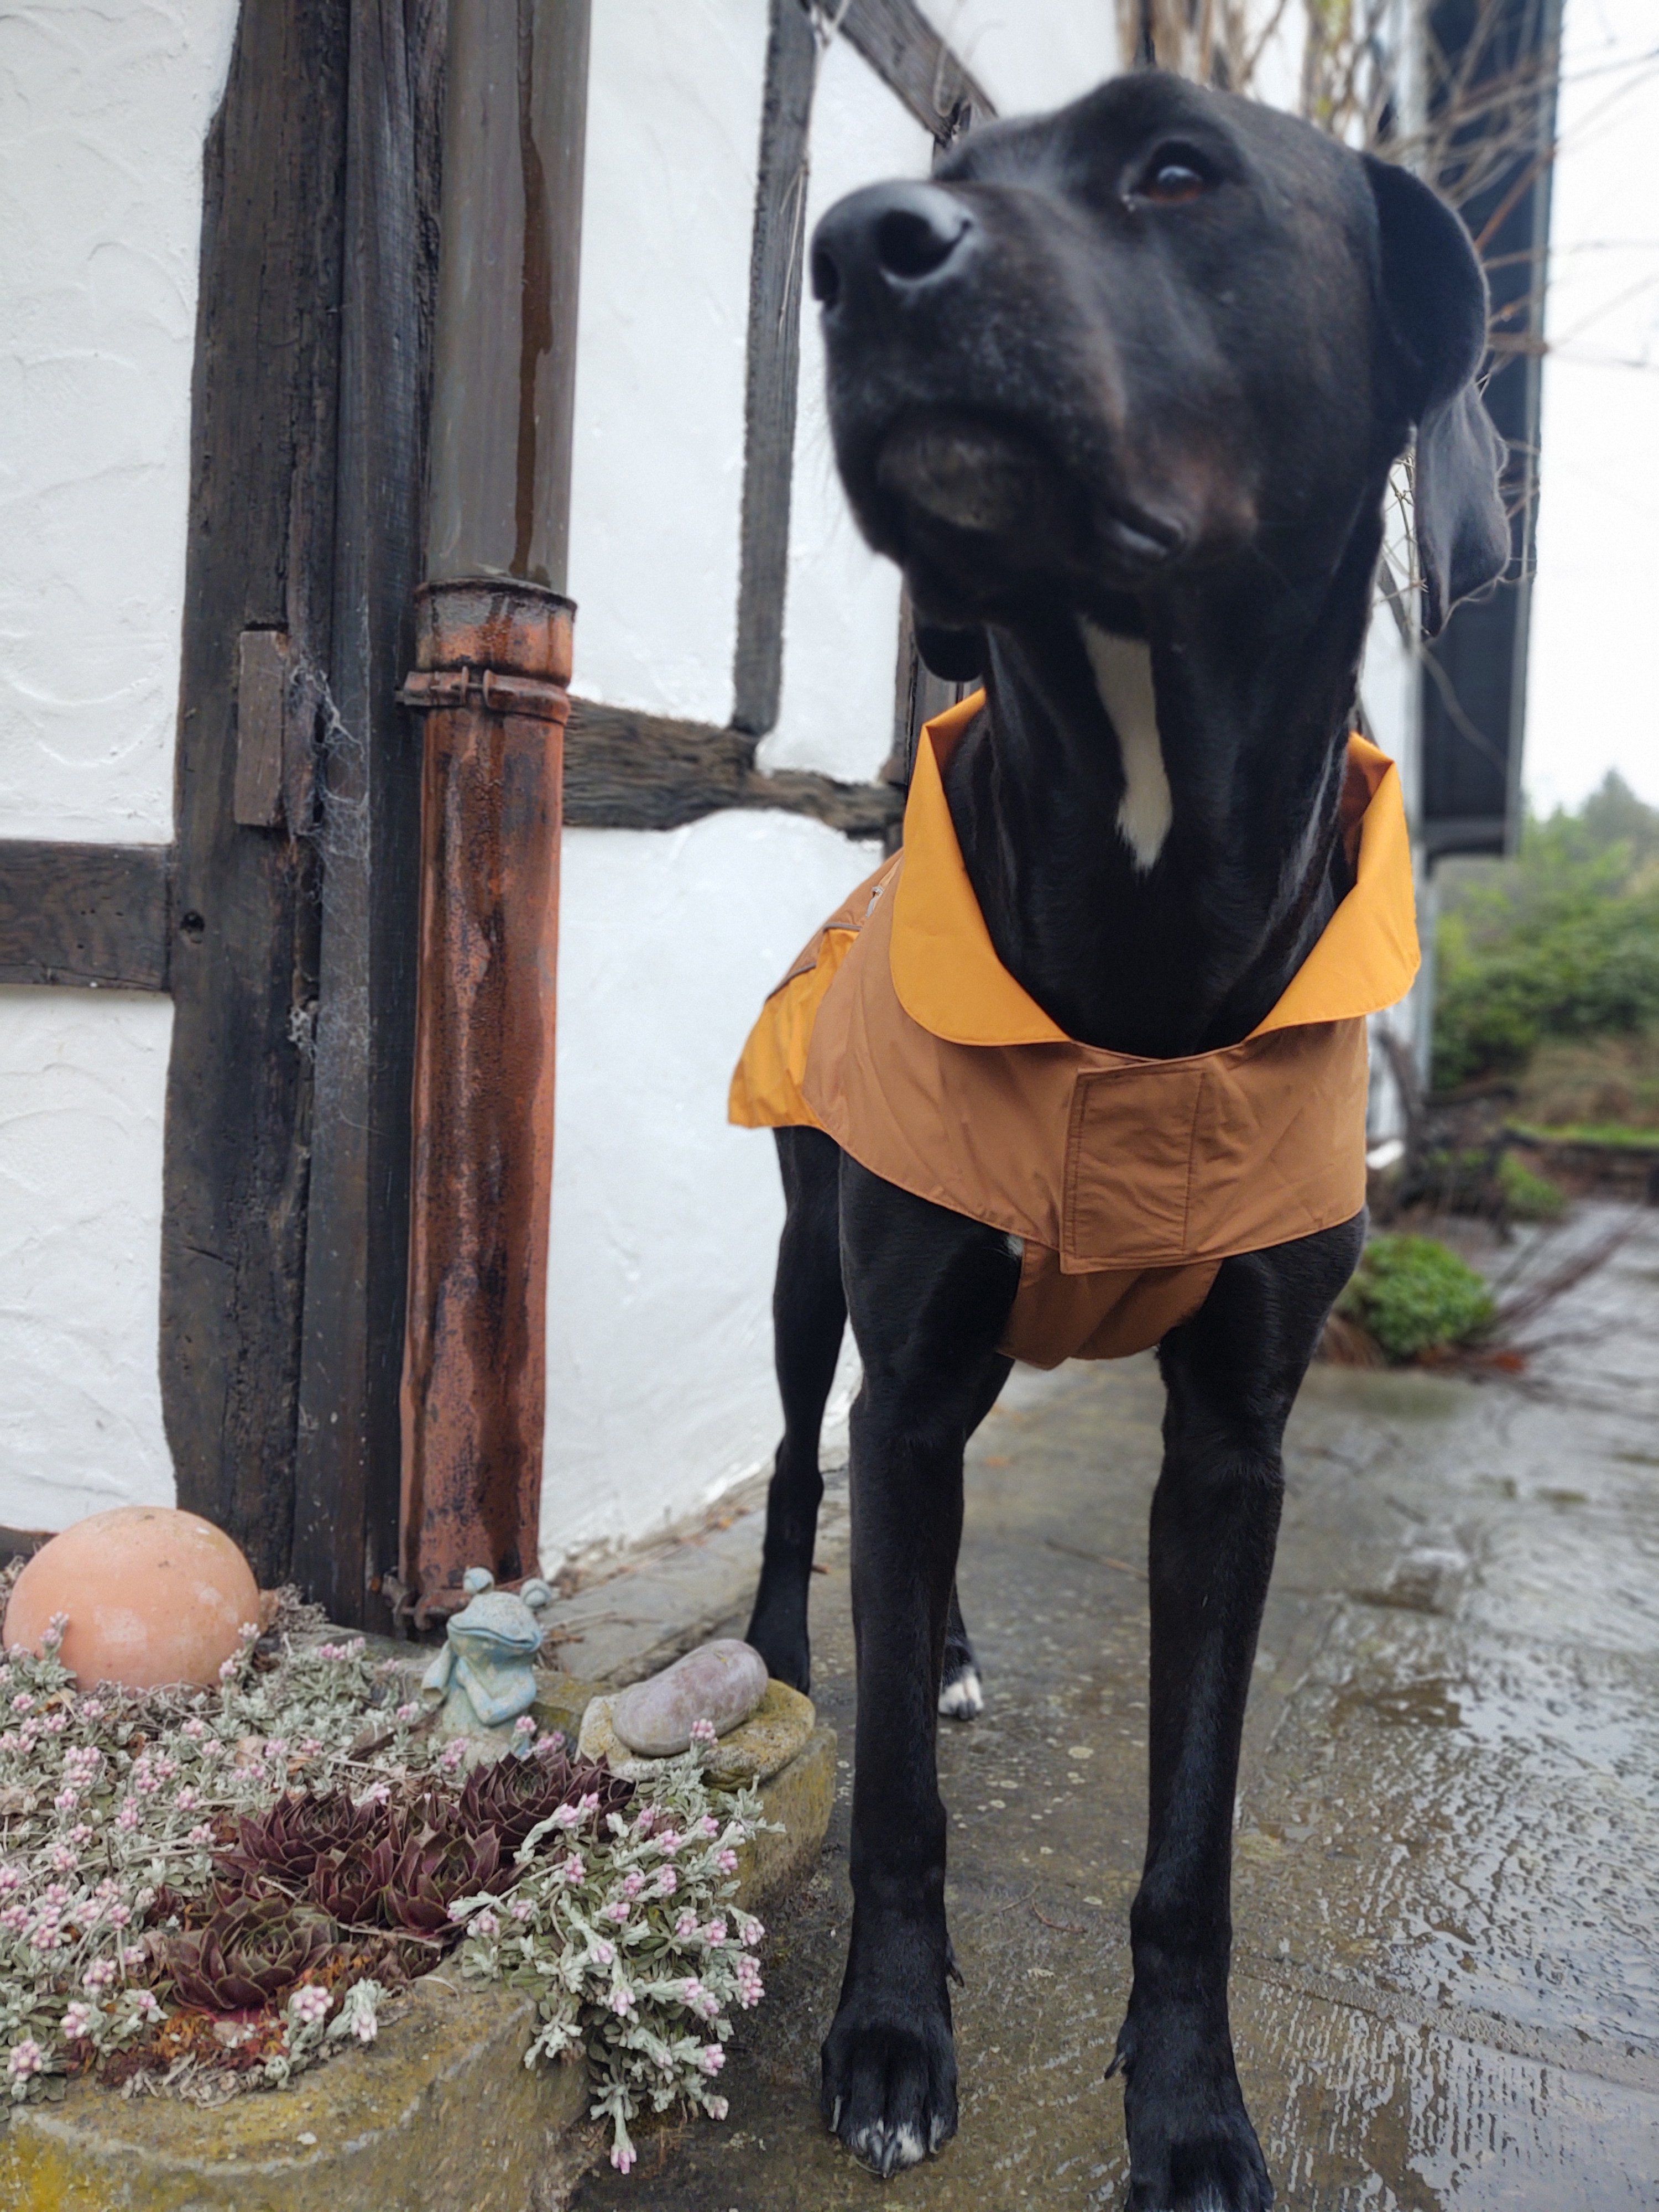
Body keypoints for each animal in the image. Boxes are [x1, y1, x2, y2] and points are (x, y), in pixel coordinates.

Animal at [739, 67, 1507, 2208]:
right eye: (950, 163)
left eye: (1178, 170)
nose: (855, 248)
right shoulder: (916, 1335)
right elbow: (897, 1799)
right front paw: (891, 2041)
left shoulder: (1235, 1445)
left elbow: (1187, 1850)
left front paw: (1192, 2112)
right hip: (813, 1270)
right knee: (808, 1463)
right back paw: (792, 1651)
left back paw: (939, 1636)